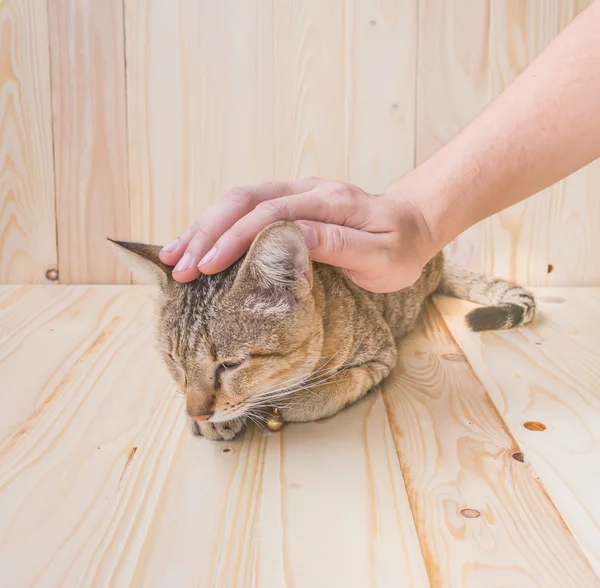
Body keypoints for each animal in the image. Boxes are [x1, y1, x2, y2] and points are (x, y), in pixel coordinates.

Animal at [110, 222, 536, 440]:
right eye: (174, 361)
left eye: (230, 365)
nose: (197, 412)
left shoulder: (381, 354)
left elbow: (329, 389)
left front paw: (285, 403)